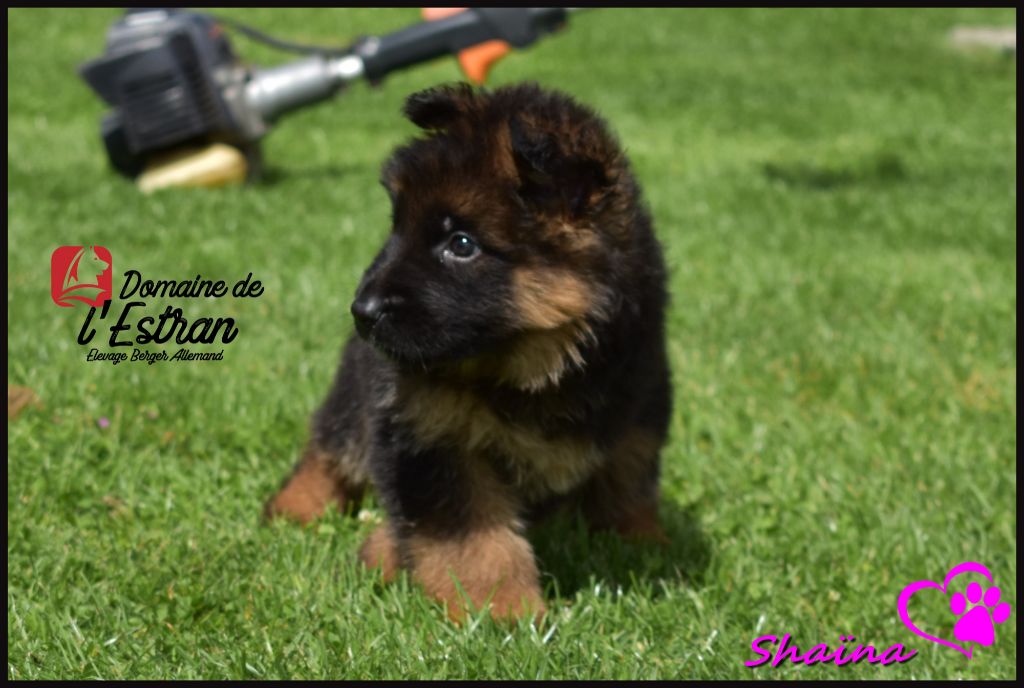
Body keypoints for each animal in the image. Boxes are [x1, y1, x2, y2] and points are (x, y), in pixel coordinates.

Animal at [265, 83, 672, 622]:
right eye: (397, 226)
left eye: (461, 243)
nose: (361, 310)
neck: (537, 369)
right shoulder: (431, 437)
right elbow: (474, 538)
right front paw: (501, 610)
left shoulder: (639, 407)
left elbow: (628, 485)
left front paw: (645, 546)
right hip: (356, 392)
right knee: (331, 443)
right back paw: (296, 510)